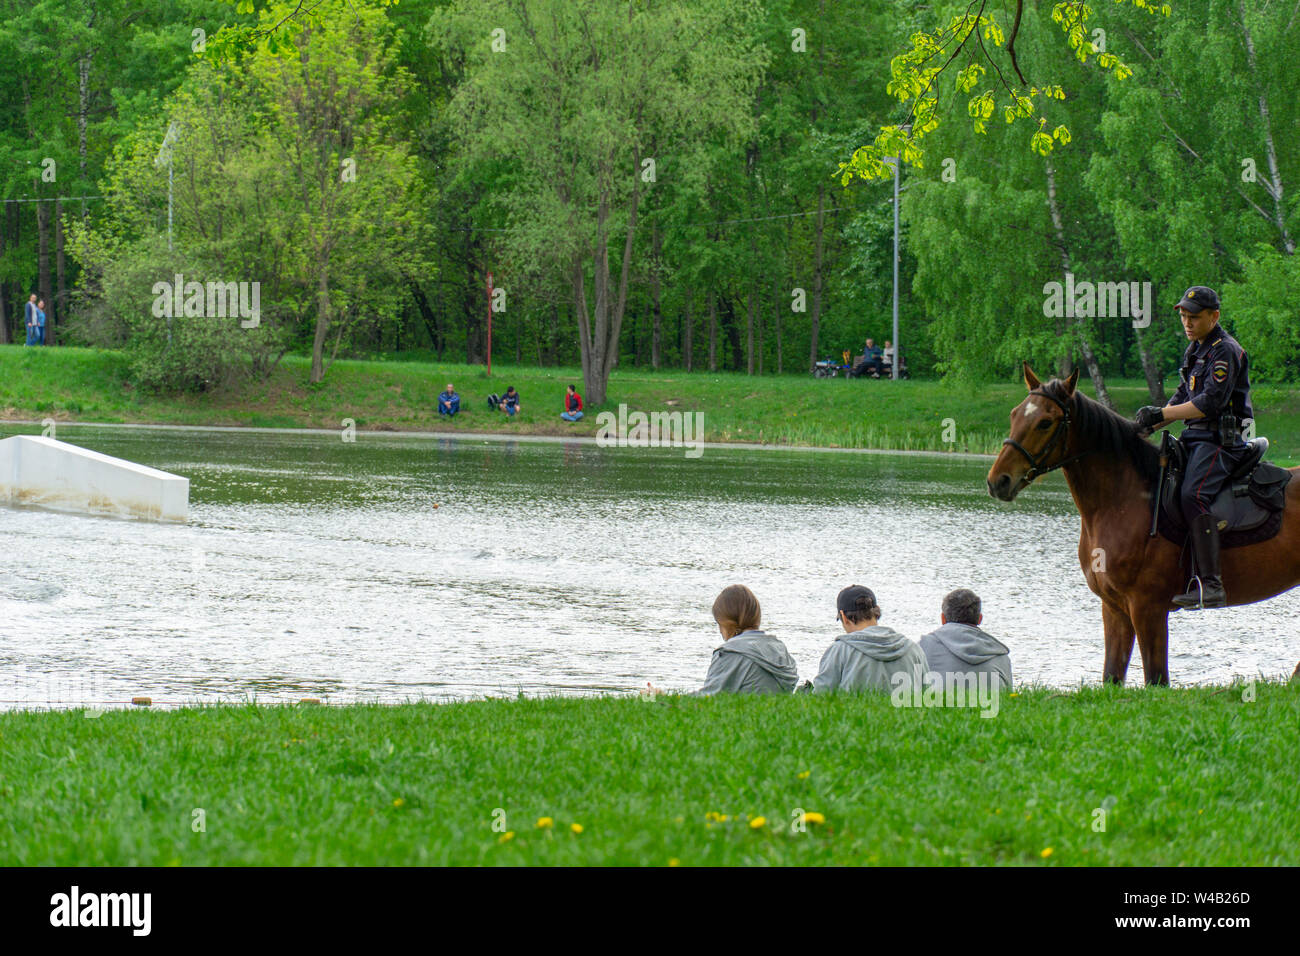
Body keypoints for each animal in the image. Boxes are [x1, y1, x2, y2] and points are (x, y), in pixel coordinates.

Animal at [982, 361, 1300, 686]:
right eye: (1015, 414)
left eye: (1045, 422)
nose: (998, 481)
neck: (1122, 501)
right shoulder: (1114, 609)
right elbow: (1112, 675)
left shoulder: (1148, 609)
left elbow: (1156, 678)